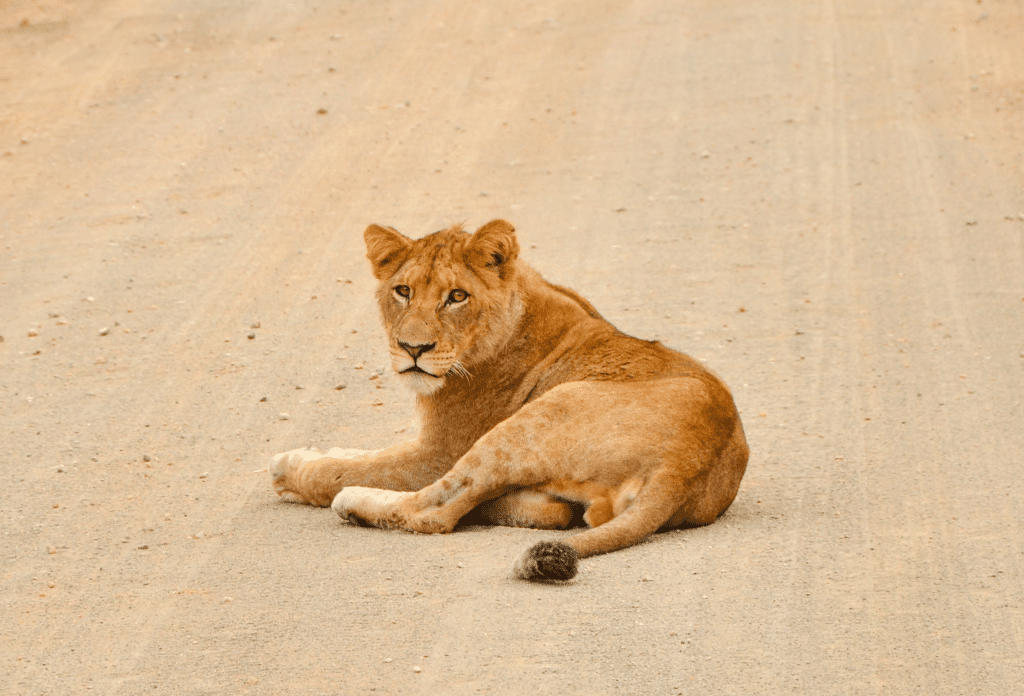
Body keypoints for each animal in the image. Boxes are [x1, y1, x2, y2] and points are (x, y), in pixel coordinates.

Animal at [270, 219, 749, 581]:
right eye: (402, 291)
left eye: (457, 296)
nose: (412, 349)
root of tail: (684, 464)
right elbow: (364, 453)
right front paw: (319, 451)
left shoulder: (439, 451)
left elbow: (343, 471)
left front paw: (292, 469)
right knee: (552, 513)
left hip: (536, 417)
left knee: (433, 509)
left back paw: (353, 502)